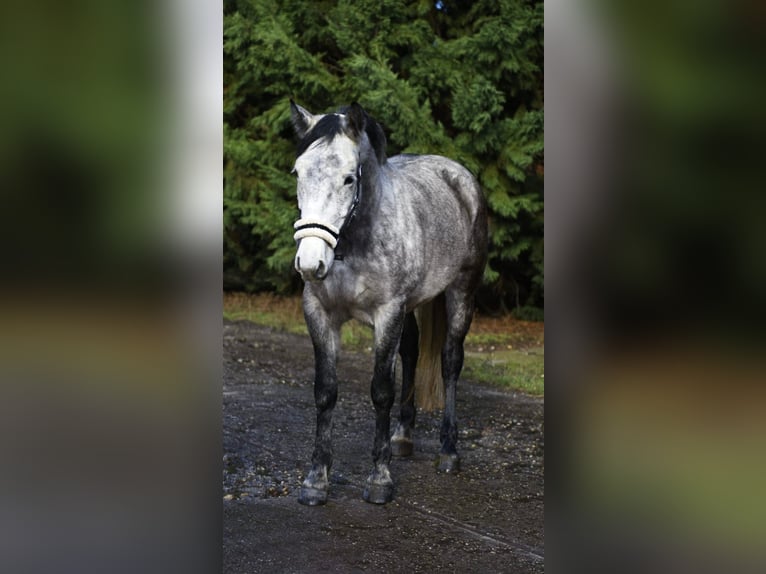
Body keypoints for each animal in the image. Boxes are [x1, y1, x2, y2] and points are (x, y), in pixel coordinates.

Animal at [289, 100, 488, 505]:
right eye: (298, 172)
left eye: (349, 178)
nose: (310, 263)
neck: (354, 244)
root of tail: (461, 178)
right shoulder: (320, 315)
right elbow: (325, 392)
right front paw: (316, 481)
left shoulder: (387, 314)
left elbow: (381, 391)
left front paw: (380, 480)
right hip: (411, 308)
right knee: (412, 352)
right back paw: (403, 436)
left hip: (461, 294)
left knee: (450, 361)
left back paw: (448, 451)